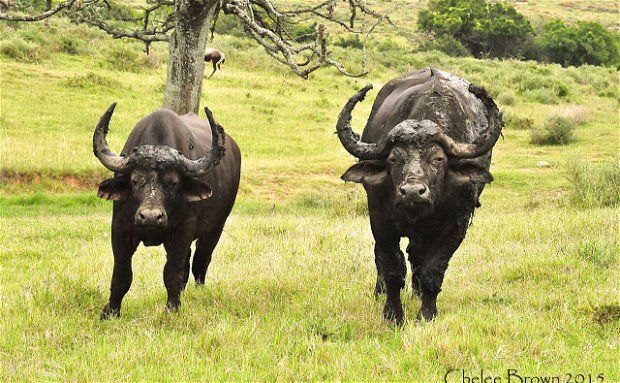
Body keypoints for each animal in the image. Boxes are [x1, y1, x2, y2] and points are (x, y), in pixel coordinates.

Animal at [93, 103, 241, 320]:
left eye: (173, 183)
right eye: (135, 181)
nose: (151, 217)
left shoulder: (182, 233)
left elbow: (172, 273)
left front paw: (172, 309)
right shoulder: (120, 228)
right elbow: (121, 274)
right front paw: (110, 312)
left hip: (216, 228)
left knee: (200, 262)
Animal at [334, 68, 504, 324]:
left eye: (438, 158)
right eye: (394, 159)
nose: (413, 192)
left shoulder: (456, 226)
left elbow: (432, 271)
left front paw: (426, 313)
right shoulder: (380, 222)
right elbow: (392, 269)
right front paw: (392, 315)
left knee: (417, 257)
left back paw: (417, 293)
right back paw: (379, 292)